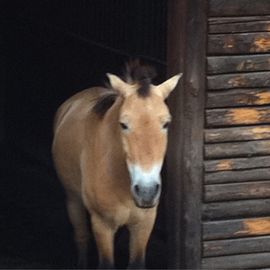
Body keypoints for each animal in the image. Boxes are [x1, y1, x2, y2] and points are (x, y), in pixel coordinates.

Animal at [51, 62, 181, 268]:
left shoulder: (143, 224)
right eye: (123, 124)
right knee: (81, 236)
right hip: (73, 200)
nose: (146, 191)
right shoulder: (102, 224)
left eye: (166, 124)